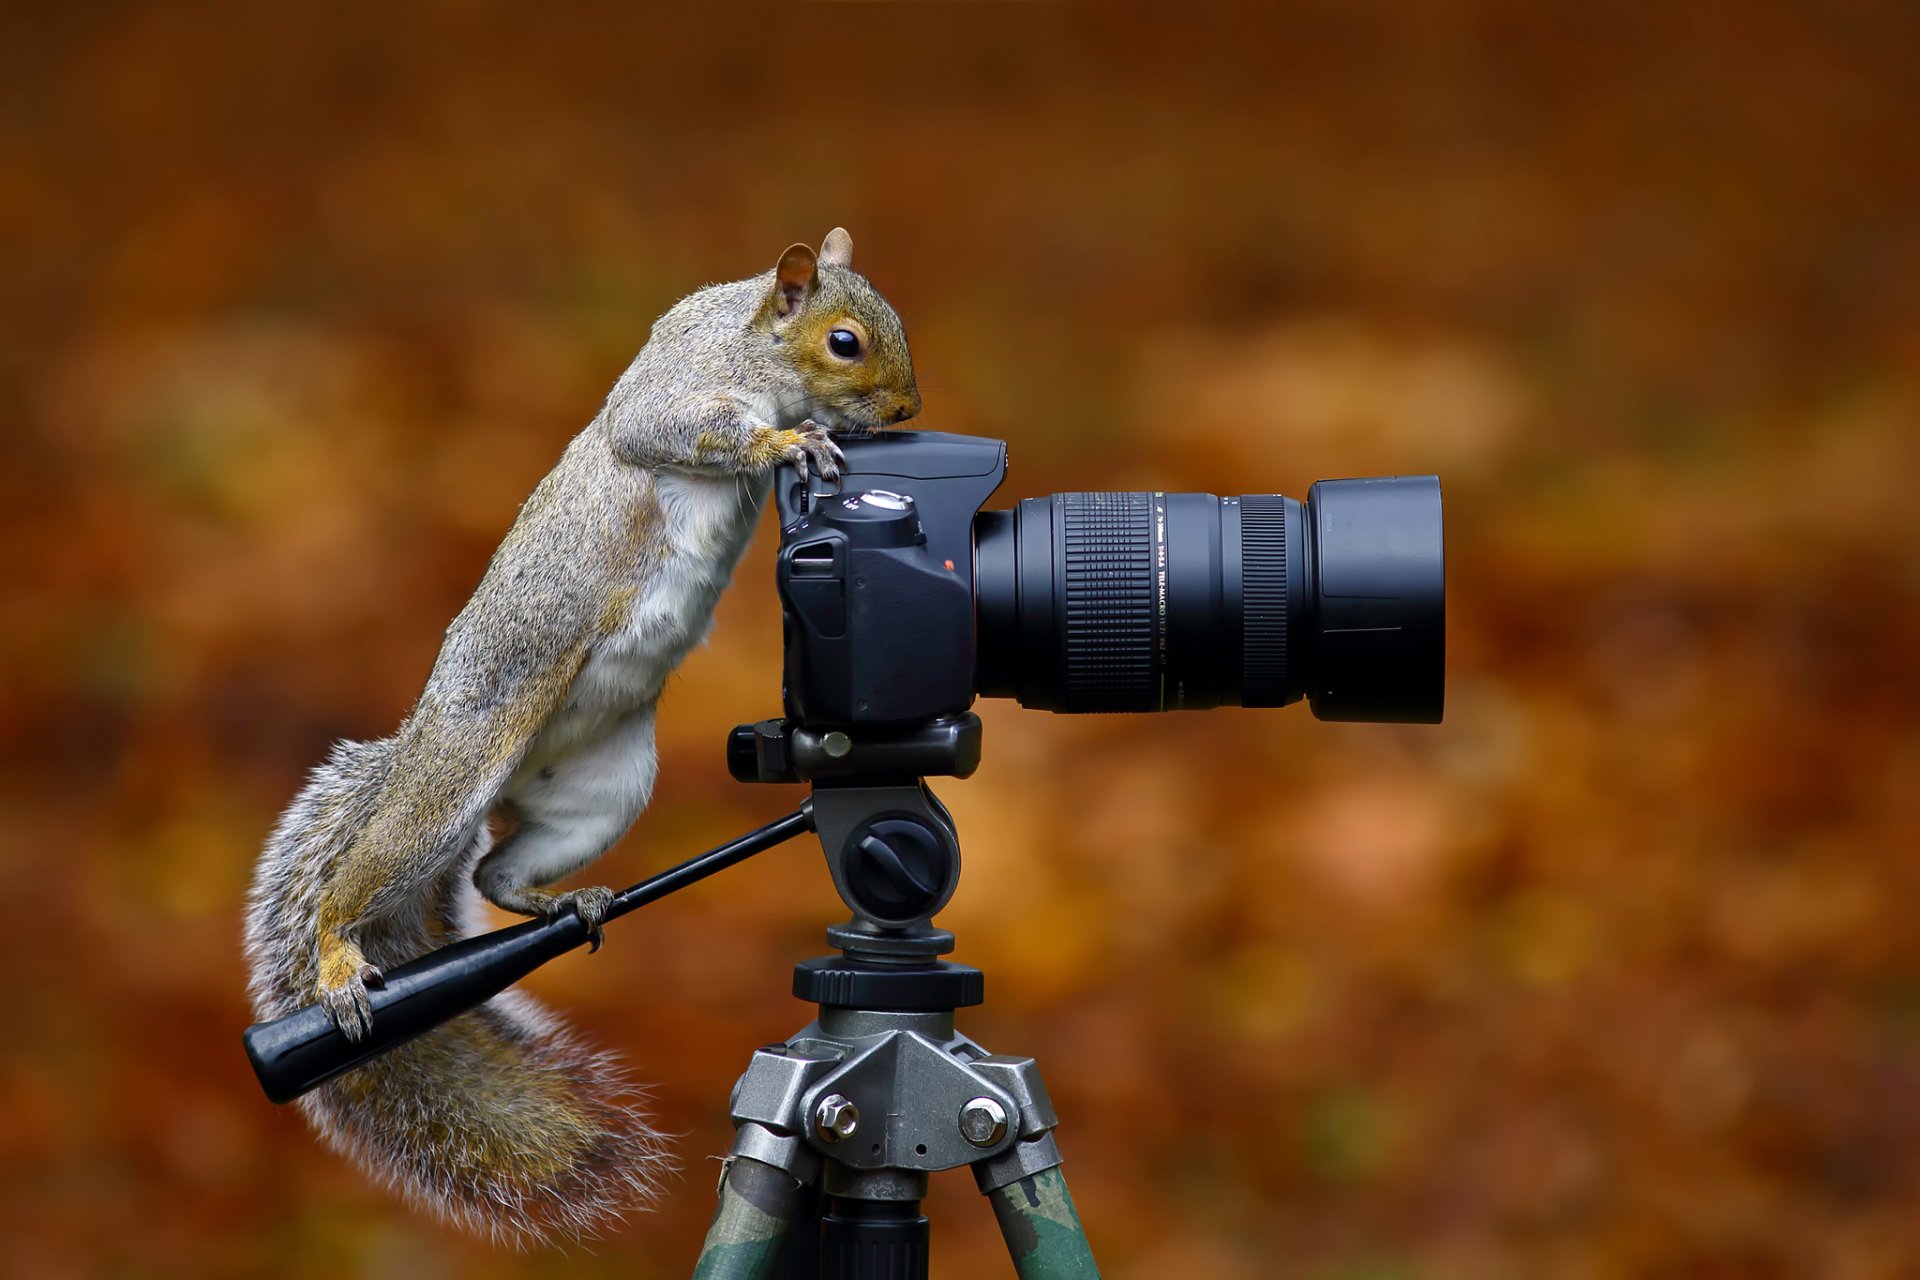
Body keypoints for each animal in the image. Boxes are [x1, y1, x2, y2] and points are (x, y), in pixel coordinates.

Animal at [241, 227, 921, 1243]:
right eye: (845, 343)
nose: (909, 409)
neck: (748, 336)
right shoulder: (677, 388)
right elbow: (665, 430)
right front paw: (790, 442)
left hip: (604, 791)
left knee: (493, 873)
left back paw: (569, 903)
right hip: (451, 787)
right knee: (363, 876)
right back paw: (337, 963)